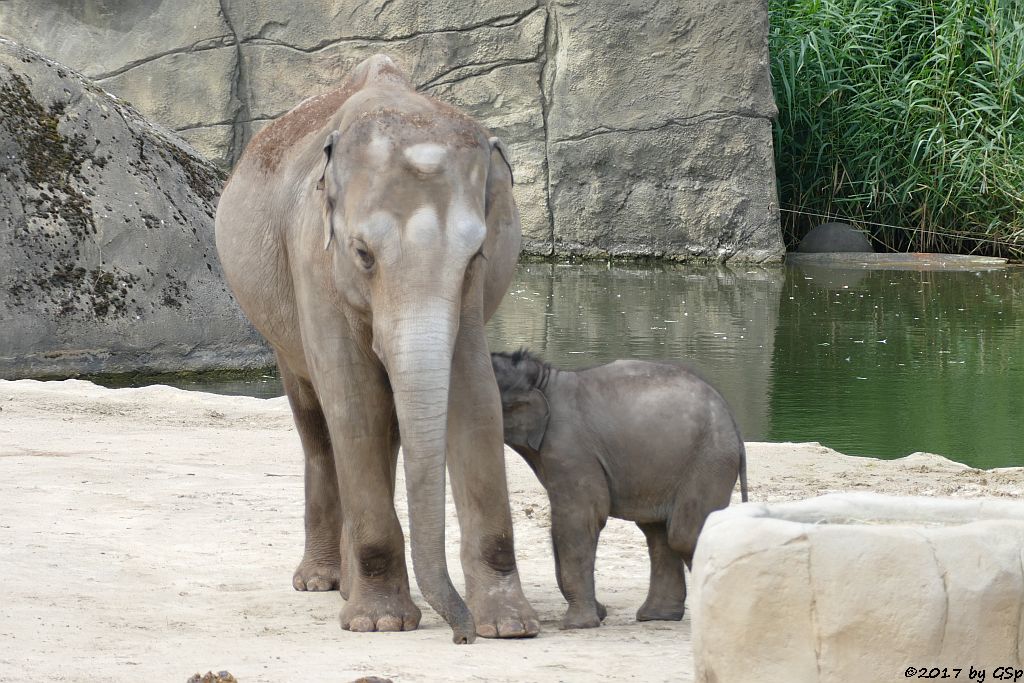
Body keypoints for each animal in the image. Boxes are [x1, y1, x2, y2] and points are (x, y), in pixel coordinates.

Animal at [212, 54, 540, 647]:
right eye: (362, 254)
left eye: (476, 254)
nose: (460, 636)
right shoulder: (312, 261)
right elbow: (354, 401)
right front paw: (381, 623)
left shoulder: (472, 298)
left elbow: (476, 399)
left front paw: (509, 627)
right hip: (277, 326)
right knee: (319, 424)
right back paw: (322, 582)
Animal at [491, 352, 749, 630]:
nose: (603, 610)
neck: (544, 379)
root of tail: (734, 425)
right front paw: (597, 614)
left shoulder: (570, 450)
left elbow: (580, 518)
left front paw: (577, 625)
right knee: (658, 532)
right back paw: (656, 616)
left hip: (709, 461)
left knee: (683, 534)